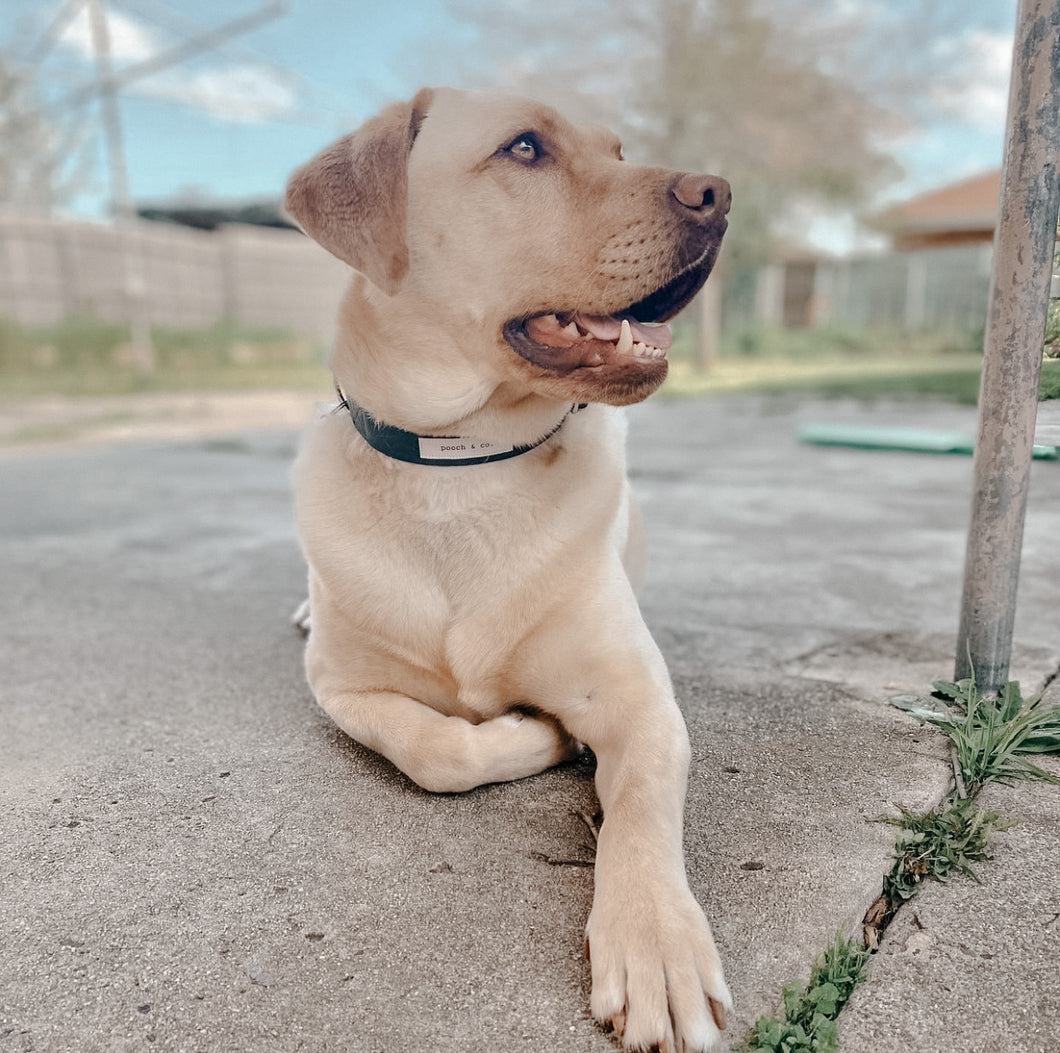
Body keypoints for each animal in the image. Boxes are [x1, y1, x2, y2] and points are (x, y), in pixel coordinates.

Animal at [290, 86, 737, 1047]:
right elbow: (434, 747)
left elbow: (643, 801)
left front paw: (655, 937)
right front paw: (534, 733)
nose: (719, 194)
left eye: (619, 149)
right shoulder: (341, 686)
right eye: (525, 148)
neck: (463, 468)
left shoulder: (640, 700)